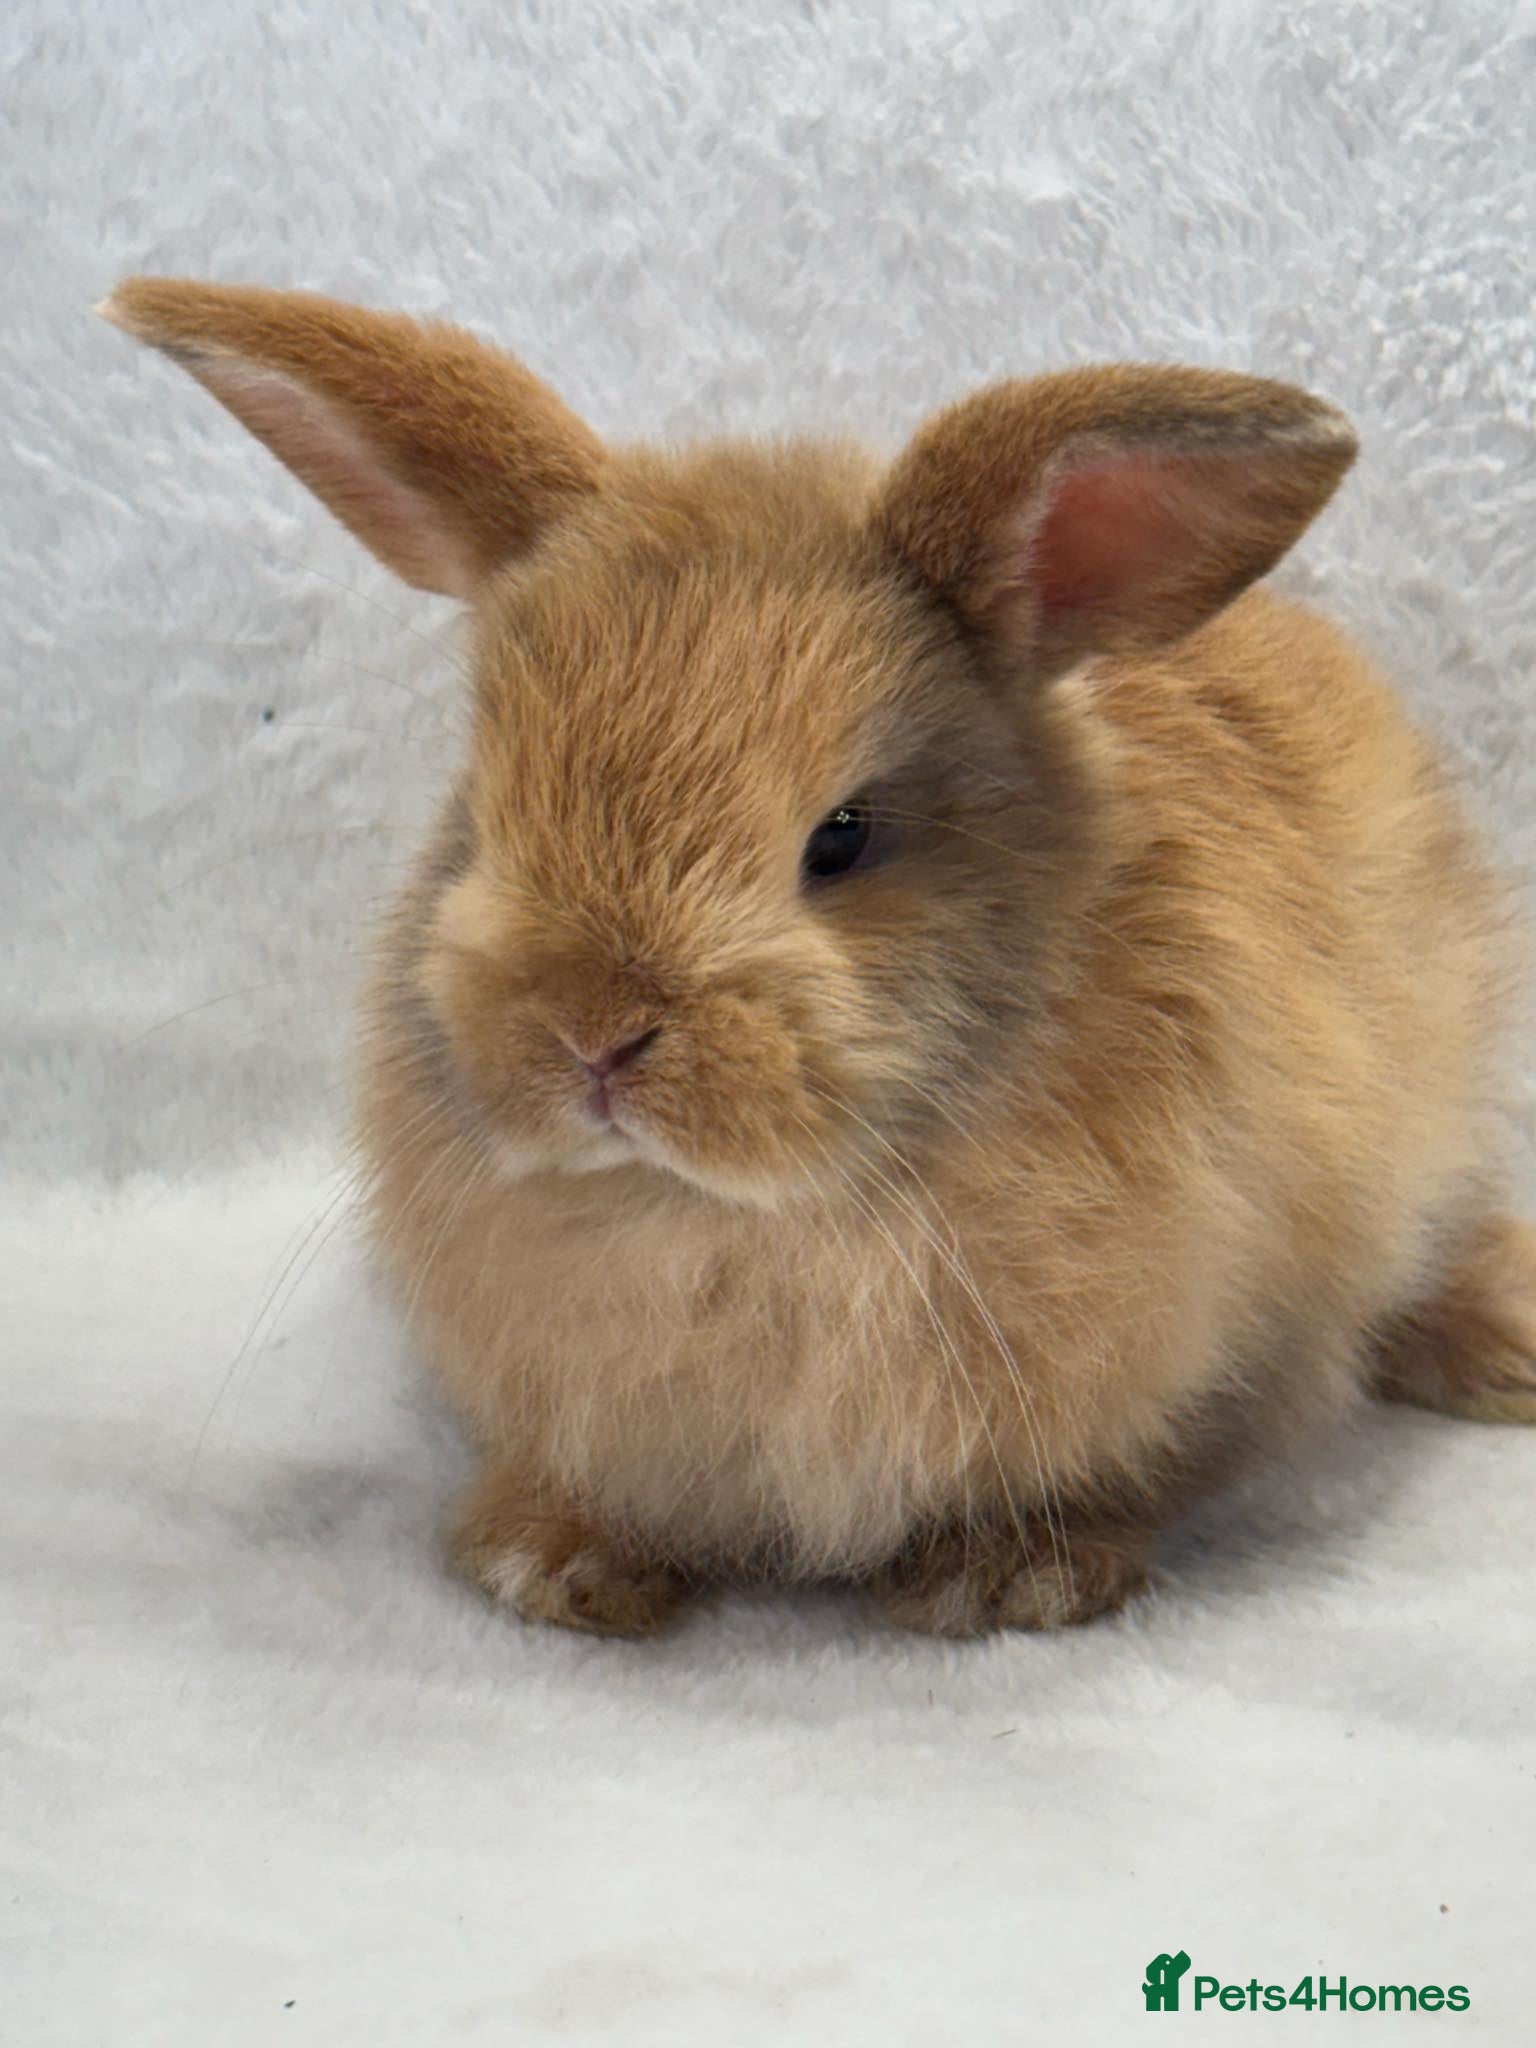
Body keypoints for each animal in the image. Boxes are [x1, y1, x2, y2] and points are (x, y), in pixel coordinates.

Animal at [102, 277, 1536, 1639]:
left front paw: (1004, 1582)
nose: (591, 1035)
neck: (742, 1215)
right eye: (484, 805)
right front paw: (548, 1566)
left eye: (842, 837)